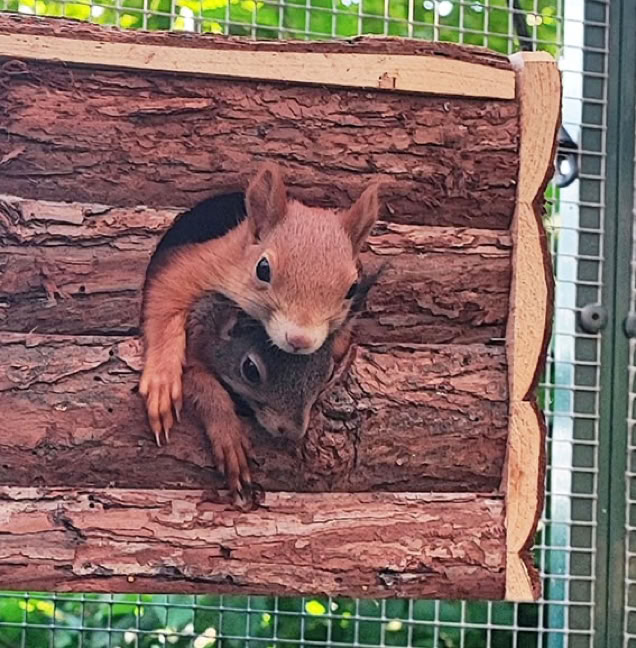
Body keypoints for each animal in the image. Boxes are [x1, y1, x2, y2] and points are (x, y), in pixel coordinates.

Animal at [140, 162, 380, 447]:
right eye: (263, 268)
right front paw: (162, 382)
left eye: (352, 288)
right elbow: (165, 299)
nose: (300, 340)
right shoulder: (202, 265)